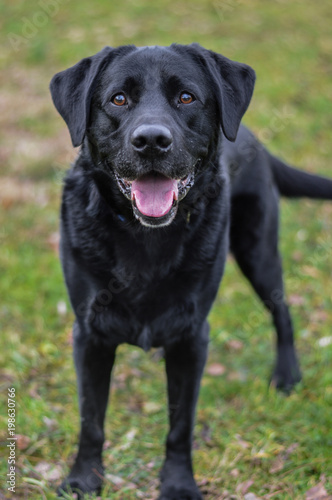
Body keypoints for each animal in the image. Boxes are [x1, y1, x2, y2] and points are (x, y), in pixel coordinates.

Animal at [49, 45, 332, 498]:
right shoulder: (89, 334)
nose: (151, 140)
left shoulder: (191, 336)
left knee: (282, 311)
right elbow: (91, 418)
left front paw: (179, 483)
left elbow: (180, 424)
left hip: (258, 251)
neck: (145, 239)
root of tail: (254, 139)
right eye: (118, 99)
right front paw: (83, 479)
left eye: (186, 97)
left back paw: (287, 376)